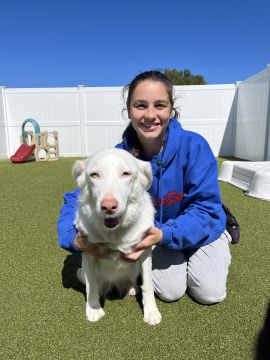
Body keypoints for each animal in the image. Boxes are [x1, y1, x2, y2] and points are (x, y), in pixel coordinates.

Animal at [71, 148, 161, 324]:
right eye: (94, 175)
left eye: (126, 173)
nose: (108, 207)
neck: (114, 234)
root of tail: (112, 284)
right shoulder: (88, 253)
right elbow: (91, 285)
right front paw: (94, 309)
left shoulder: (145, 251)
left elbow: (147, 285)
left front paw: (151, 312)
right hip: (81, 272)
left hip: (134, 268)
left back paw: (131, 288)